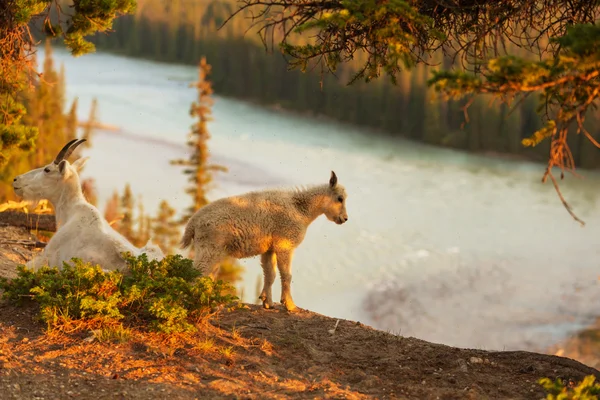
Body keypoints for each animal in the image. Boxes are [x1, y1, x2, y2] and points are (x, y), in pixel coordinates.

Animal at [180, 170, 350, 310]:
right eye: (340, 198)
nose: (344, 219)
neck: (300, 210)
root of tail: (192, 223)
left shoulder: (269, 249)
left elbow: (270, 274)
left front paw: (267, 302)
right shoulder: (284, 245)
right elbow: (286, 275)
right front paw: (289, 305)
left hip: (213, 252)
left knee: (207, 275)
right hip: (209, 248)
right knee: (198, 273)